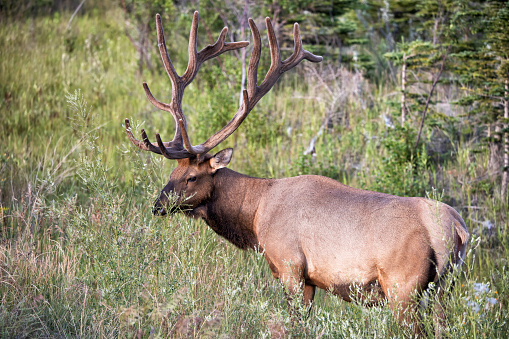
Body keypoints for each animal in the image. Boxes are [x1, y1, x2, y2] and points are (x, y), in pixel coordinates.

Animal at [126, 11, 468, 332]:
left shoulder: (290, 265)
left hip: (403, 286)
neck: (255, 216)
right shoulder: (310, 279)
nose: (158, 205)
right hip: (443, 289)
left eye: (192, 177)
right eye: (171, 175)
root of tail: (456, 227)